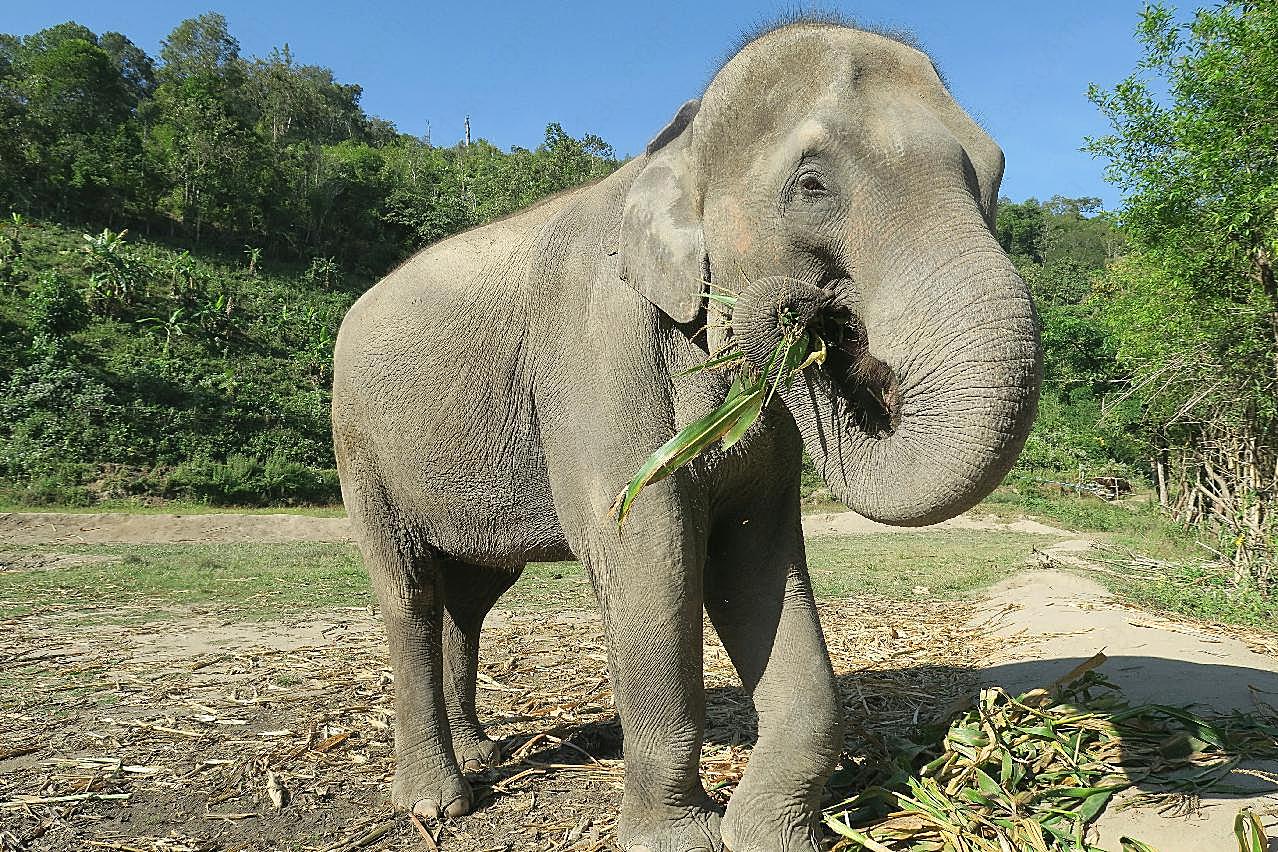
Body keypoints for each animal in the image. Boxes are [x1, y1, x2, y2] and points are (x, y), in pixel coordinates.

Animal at [329, 18, 1037, 852]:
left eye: (995, 174)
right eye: (812, 185)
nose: (805, 320)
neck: (678, 143)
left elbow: (754, 560)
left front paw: (767, 835)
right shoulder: (600, 357)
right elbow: (648, 555)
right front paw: (681, 837)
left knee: (469, 597)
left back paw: (478, 754)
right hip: (359, 444)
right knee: (409, 590)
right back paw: (438, 803)